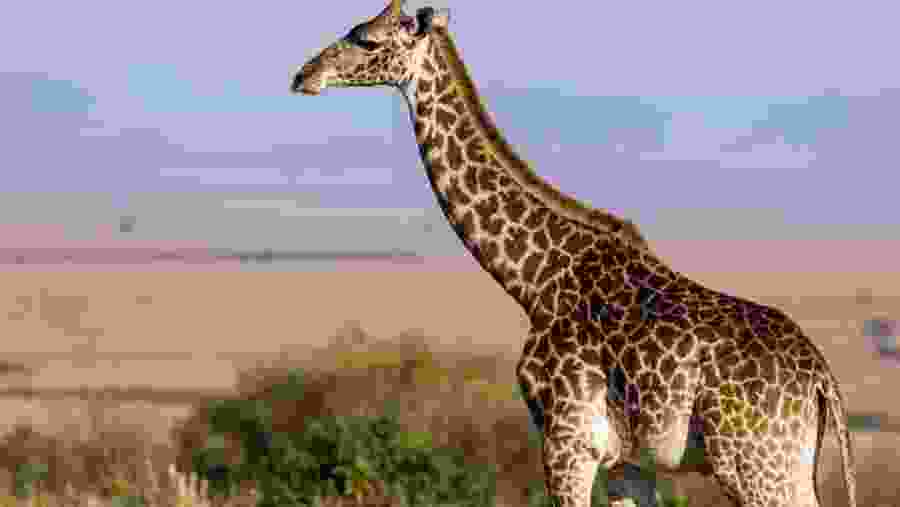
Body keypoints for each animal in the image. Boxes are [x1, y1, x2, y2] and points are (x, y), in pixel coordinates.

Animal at [289, 1, 857, 506]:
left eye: (366, 40)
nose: (303, 76)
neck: (532, 279)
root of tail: (821, 379)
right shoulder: (628, 462)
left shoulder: (567, 441)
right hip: (789, 461)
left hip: (753, 462)